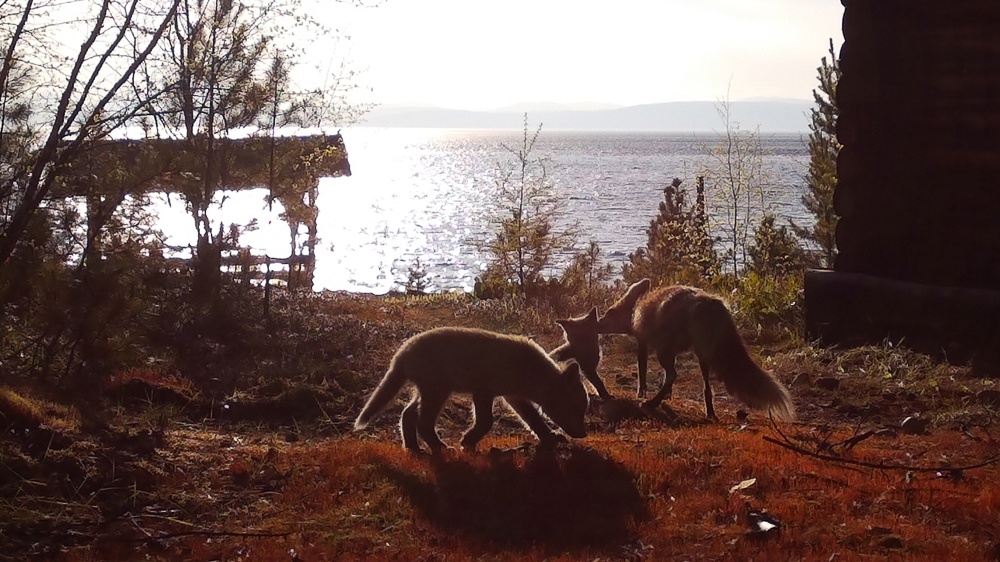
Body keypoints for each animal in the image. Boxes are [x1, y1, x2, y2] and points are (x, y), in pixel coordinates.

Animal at [354, 326, 588, 452]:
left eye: (583, 410)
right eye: (576, 409)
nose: (584, 434)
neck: (529, 372)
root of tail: (400, 354)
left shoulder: (513, 395)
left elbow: (533, 420)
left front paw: (551, 437)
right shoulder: (484, 390)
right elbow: (486, 422)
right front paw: (467, 442)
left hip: (428, 390)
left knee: (407, 414)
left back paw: (413, 447)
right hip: (438, 390)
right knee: (422, 421)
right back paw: (439, 447)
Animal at [592, 280, 796, 420]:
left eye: (610, 313)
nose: (596, 322)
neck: (637, 309)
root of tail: (709, 304)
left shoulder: (645, 342)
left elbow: (642, 374)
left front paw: (642, 395)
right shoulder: (671, 350)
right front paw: (668, 396)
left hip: (666, 352)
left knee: (673, 374)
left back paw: (651, 403)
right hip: (702, 354)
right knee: (706, 387)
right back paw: (710, 412)